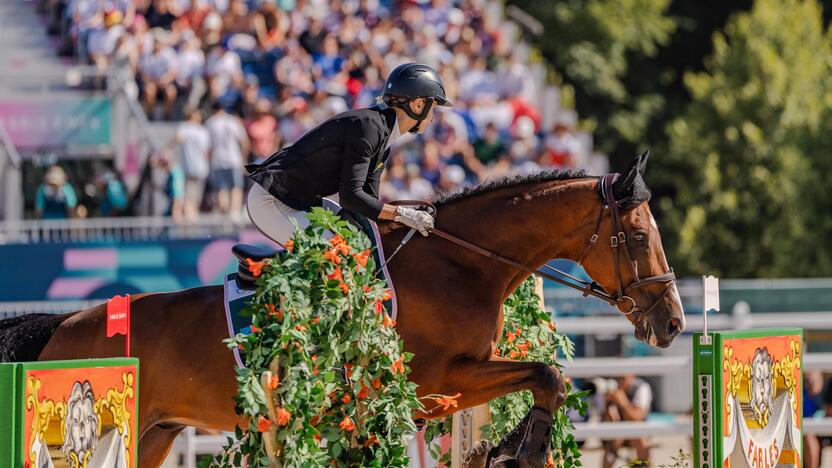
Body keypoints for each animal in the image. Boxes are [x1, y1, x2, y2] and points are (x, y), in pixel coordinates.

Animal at [0, 153, 684, 464]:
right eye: (639, 237)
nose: (673, 323)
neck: (462, 264)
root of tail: (63, 325)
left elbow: (547, 376)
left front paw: (507, 445)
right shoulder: (438, 382)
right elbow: (546, 375)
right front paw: (525, 448)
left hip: (153, 433)